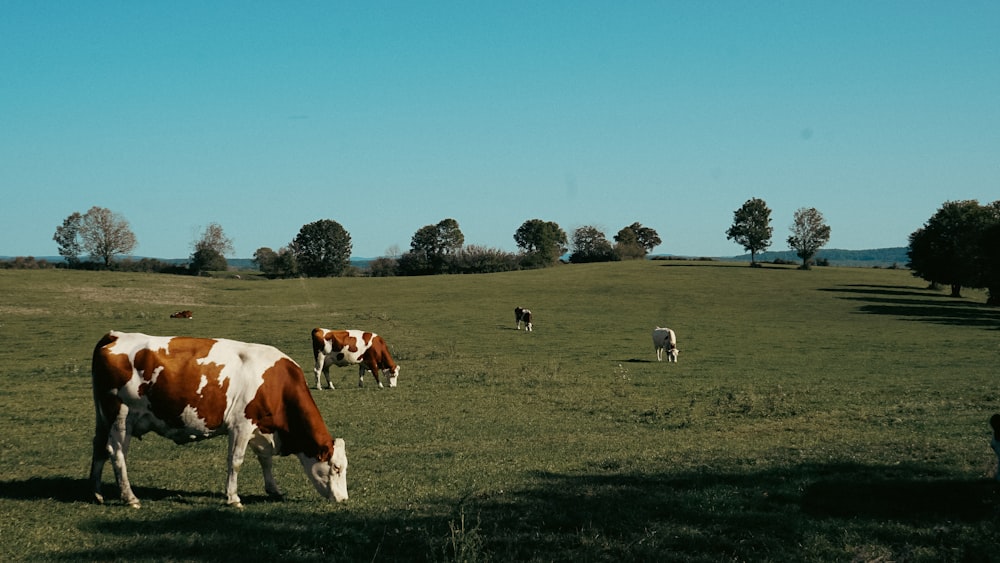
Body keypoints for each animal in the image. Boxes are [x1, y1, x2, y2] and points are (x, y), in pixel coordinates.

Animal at [91, 332, 348, 508]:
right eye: (336, 467)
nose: (344, 499)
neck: (277, 383)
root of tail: (114, 335)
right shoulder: (241, 425)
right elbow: (236, 461)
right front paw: (233, 498)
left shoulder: (260, 428)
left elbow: (265, 460)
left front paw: (273, 490)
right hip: (121, 416)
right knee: (117, 453)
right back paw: (130, 497)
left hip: (103, 417)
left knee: (99, 447)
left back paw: (96, 493)